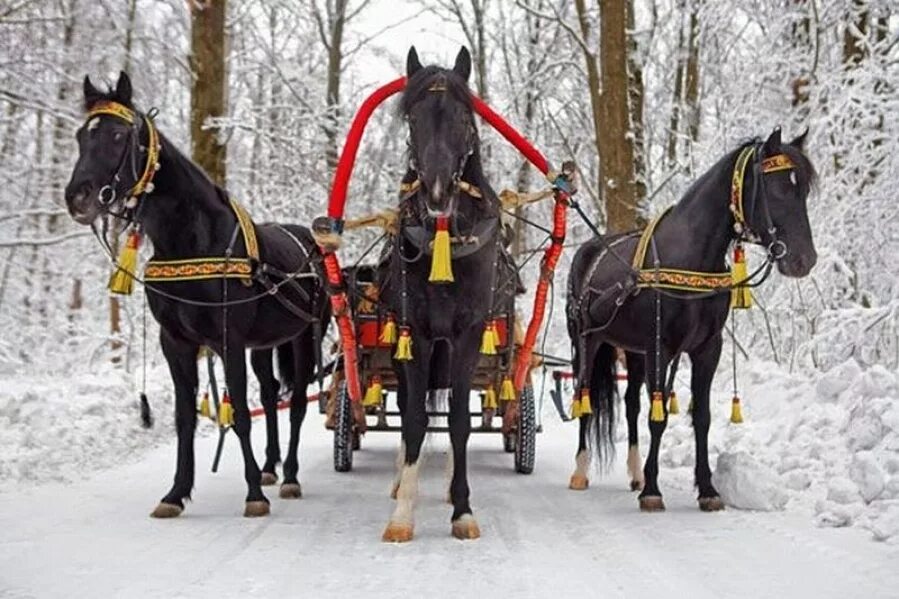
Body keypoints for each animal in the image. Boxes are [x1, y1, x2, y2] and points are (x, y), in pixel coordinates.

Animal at [64, 72, 330, 516]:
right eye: (82, 136)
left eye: (119, 135)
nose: (77, 197)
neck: (192, 241)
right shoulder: (177, 341)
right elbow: (184, 417)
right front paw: (176, 493)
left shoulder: (229, 340)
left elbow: (240, 414)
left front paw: (253, 494)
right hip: (264, 346)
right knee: (271, 395)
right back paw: (271, 466)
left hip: (304, 338)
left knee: (294, 405)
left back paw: (290, 475)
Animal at [568, 130, 816, 510]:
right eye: (776, 189)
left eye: (803, 190)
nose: (805, 259)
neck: (692, 258)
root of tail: (588, 249)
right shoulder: (661, 348)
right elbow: (657, 419)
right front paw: (652, 490)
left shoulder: (706, 349)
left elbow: (701, 417)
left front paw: (708, 489)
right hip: (586, 340)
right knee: (584, 396)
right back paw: (581, 471)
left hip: (635, 351)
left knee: (631, 405)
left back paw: (634, 472)